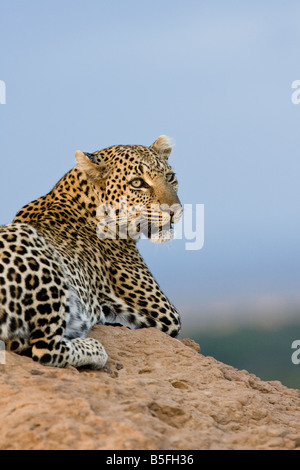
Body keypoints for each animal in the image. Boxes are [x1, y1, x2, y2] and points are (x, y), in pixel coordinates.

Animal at [0, 134, 183, 370]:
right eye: (137, 183)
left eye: (170, 177)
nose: (175, 210)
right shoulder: (166, 314)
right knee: (44, 350)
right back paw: (95, 350)